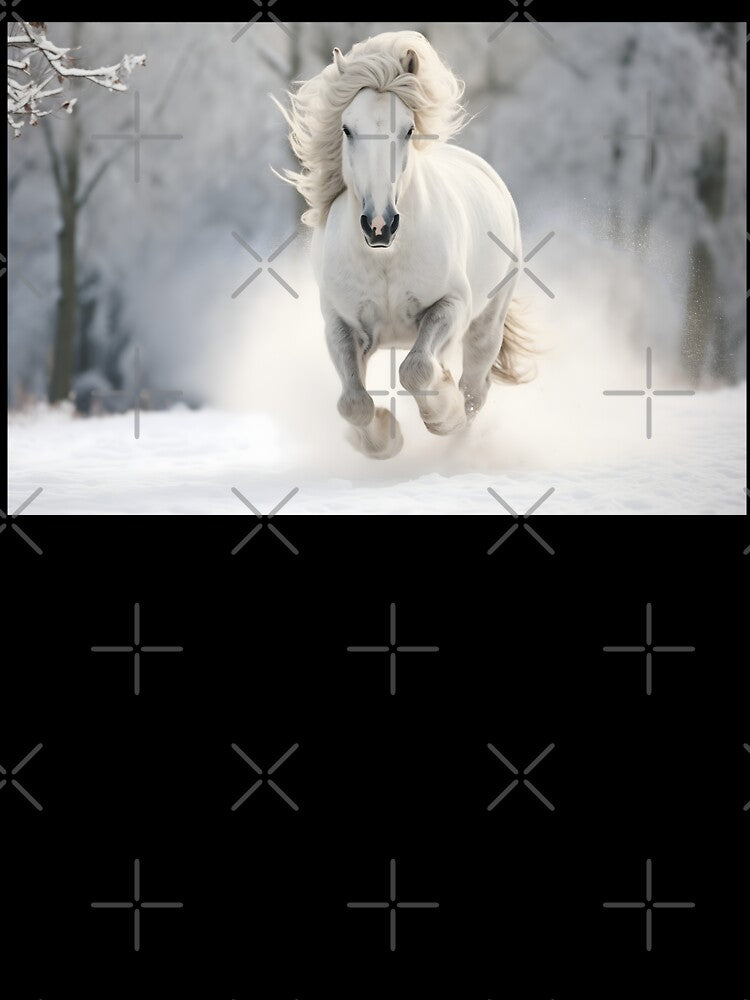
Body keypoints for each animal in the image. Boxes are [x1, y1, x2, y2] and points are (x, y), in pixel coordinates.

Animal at [274, 30, 532, 459]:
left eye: (408, 130)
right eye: (347, 129)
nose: (379, 225)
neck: (385, 260)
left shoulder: (450, 305)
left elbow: (416, 370)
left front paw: (442, 414)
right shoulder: (341, 325)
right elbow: (353, 402)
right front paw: (384, 438)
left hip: (486, 325)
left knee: (475, 389)